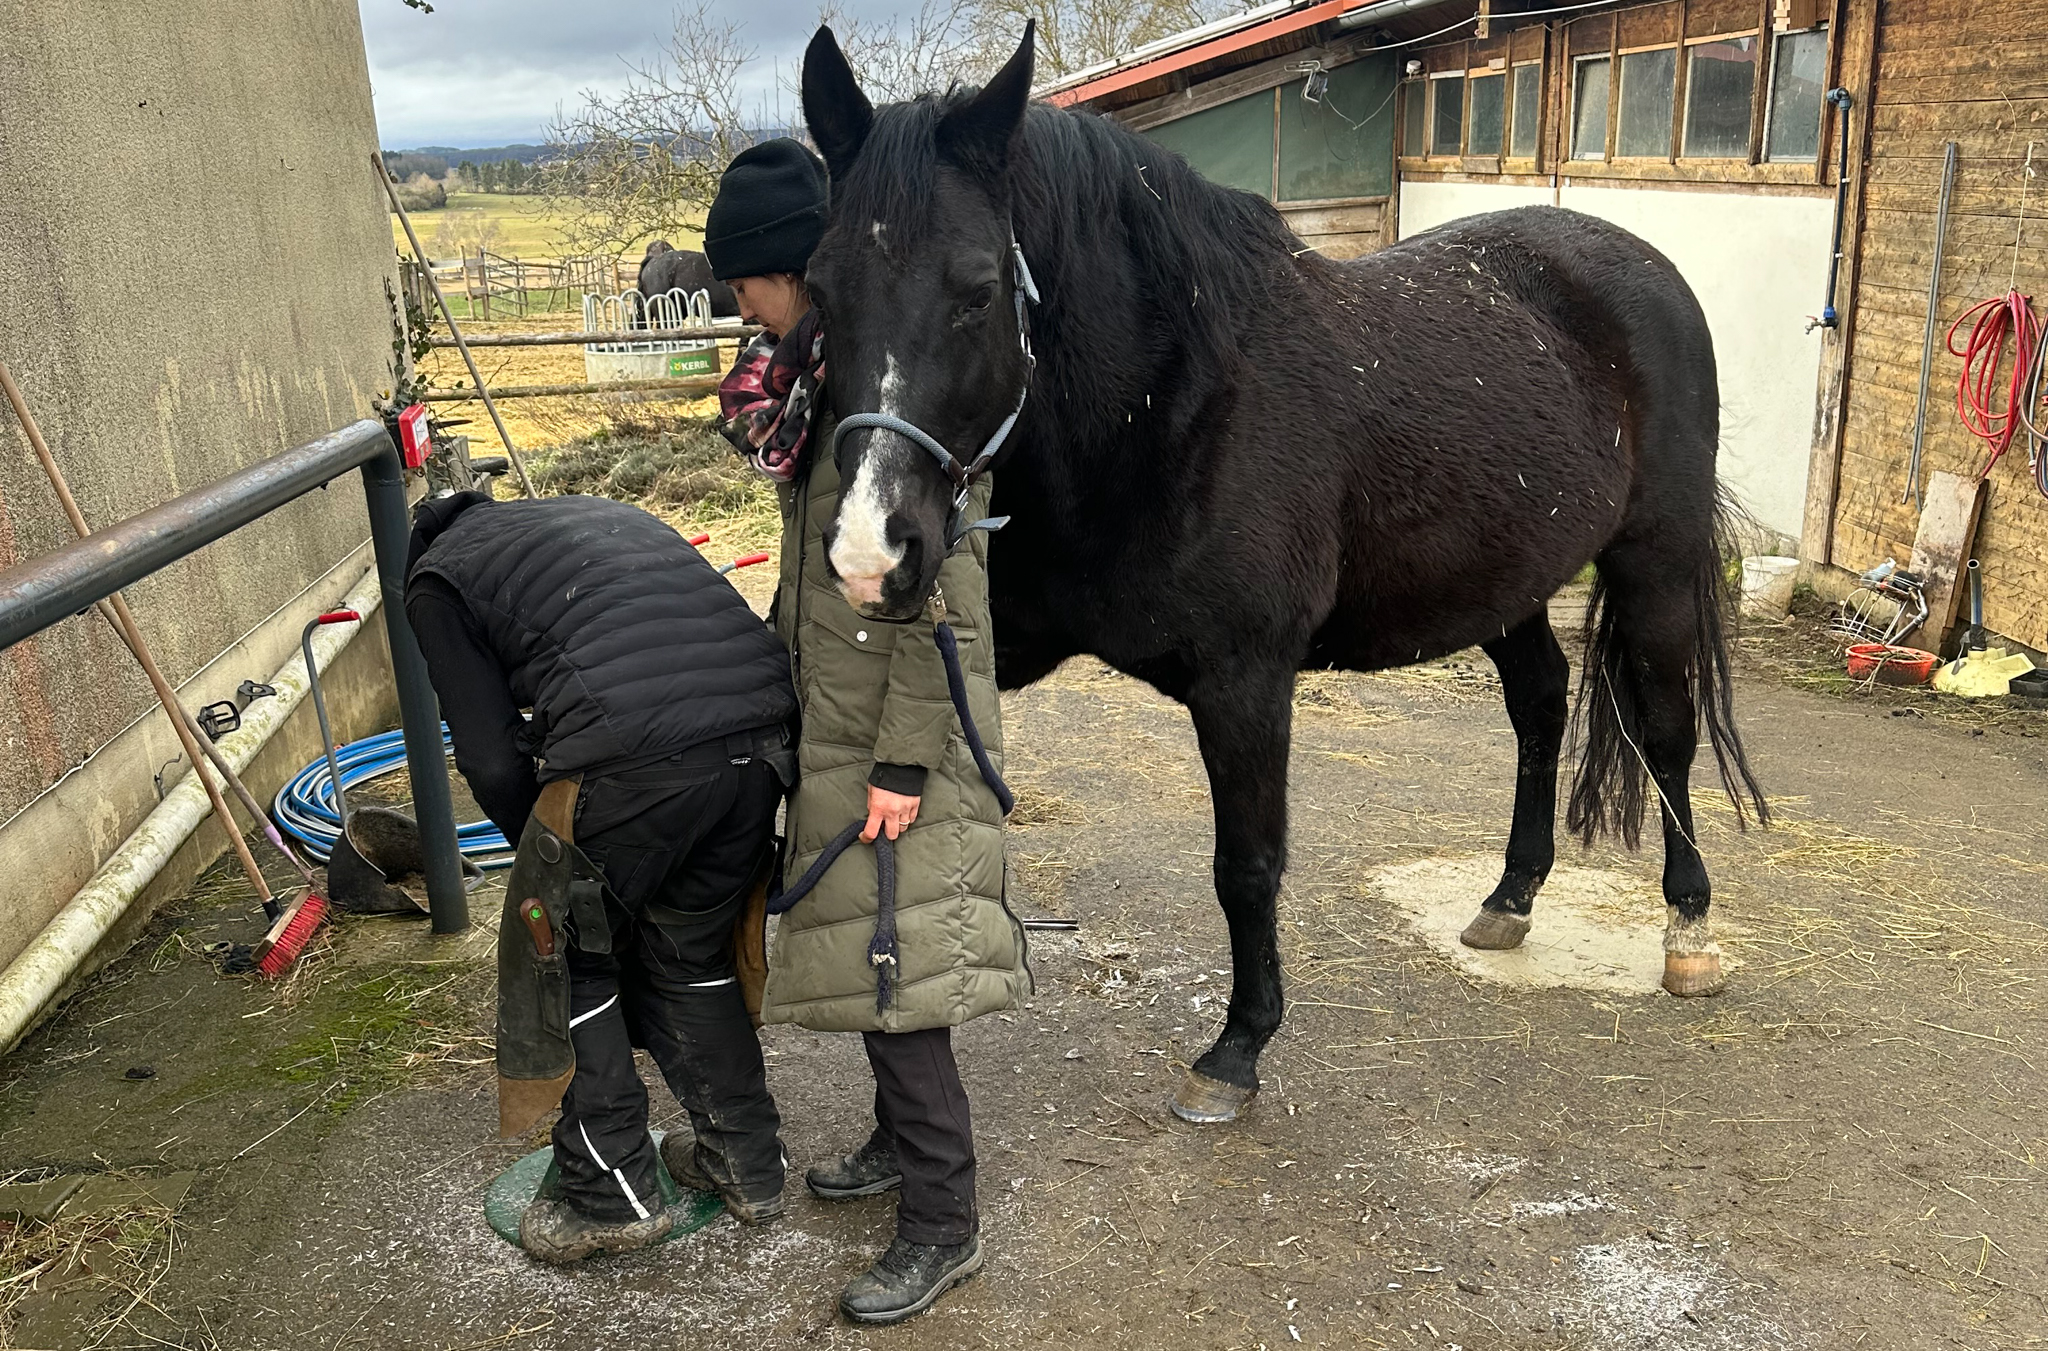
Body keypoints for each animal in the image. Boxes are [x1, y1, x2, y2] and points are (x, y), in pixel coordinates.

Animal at [798, 22, 1768, 1124]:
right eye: (822, 291)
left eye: (975, 292)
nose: (871, 552)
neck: (1171, 401)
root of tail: (1638, 264)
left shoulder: (1245, 682)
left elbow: (1247, 866)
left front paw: (1236, 1047)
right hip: (1503, 581)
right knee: (1539, 704)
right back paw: (1508, 898)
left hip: (1655, 563)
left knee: (1667, 732)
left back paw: (1688, 933)